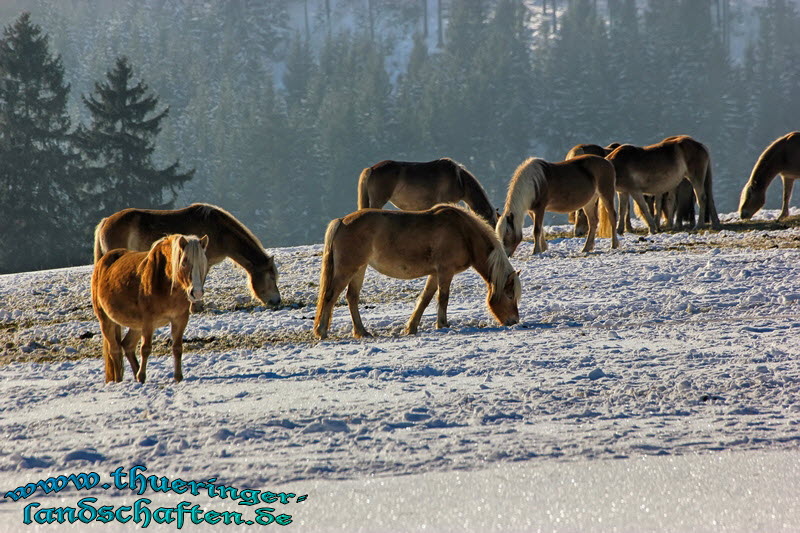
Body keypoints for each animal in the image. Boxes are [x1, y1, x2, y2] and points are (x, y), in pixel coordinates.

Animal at [91, 234, 209, 382]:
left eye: (203, 263)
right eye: (184, 262)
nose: (197, 292)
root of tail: (103, 261)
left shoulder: (180, 319)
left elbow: (177, 348)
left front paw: (178, 377)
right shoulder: (148, 321)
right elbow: (145, 349)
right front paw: (141, 376)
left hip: (136, 325)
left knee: (127, 345)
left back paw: (135, 375)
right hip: (106, 320)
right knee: (115, 350)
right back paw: (119, 380)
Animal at [312, 204, 520, 336]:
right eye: (510, 295)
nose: (514, 321)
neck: (463, 233)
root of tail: (342, 221)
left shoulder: (435, 274)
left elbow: (425, 299)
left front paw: (411, 327)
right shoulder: (445, 272)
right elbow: (443, 298)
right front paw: (443, 324)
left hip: (359, 269)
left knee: (351, 298)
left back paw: (362, 332)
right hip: (347, 269)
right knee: (330, 296)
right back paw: (322, 332)